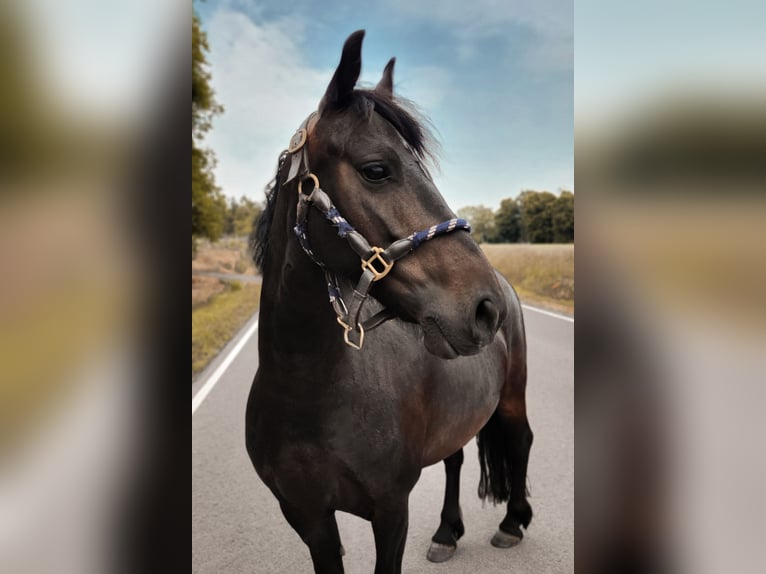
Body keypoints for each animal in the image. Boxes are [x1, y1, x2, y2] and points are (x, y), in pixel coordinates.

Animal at [248, 30, 536, 574]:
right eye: (376, 169)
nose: (484, 308)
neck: (306, 392)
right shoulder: (309, 519)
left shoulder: (390, 513)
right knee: (456, 457)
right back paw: (447, 532)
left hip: (512, 395)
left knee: (520, 440)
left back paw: (512, 523)